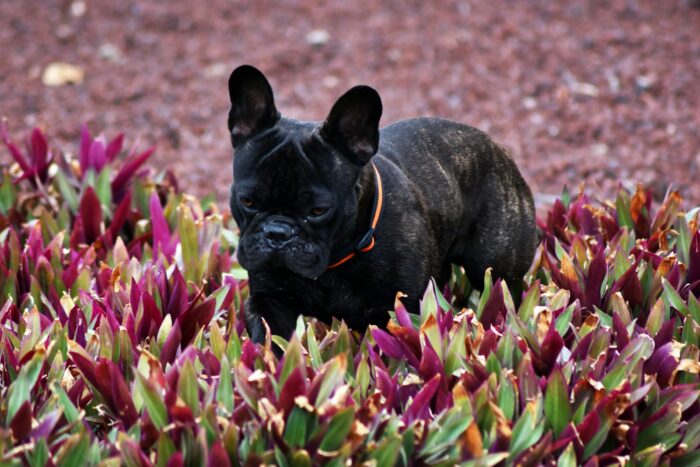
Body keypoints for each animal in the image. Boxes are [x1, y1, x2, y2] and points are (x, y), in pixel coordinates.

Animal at [227, 66, 540, 344]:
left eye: (318, 211)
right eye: (247, 201)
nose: (277, 233)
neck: (334, 263)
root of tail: (498, 148)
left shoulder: (400, 310)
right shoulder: (269, 301)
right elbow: (269, 339)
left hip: (494, 268)